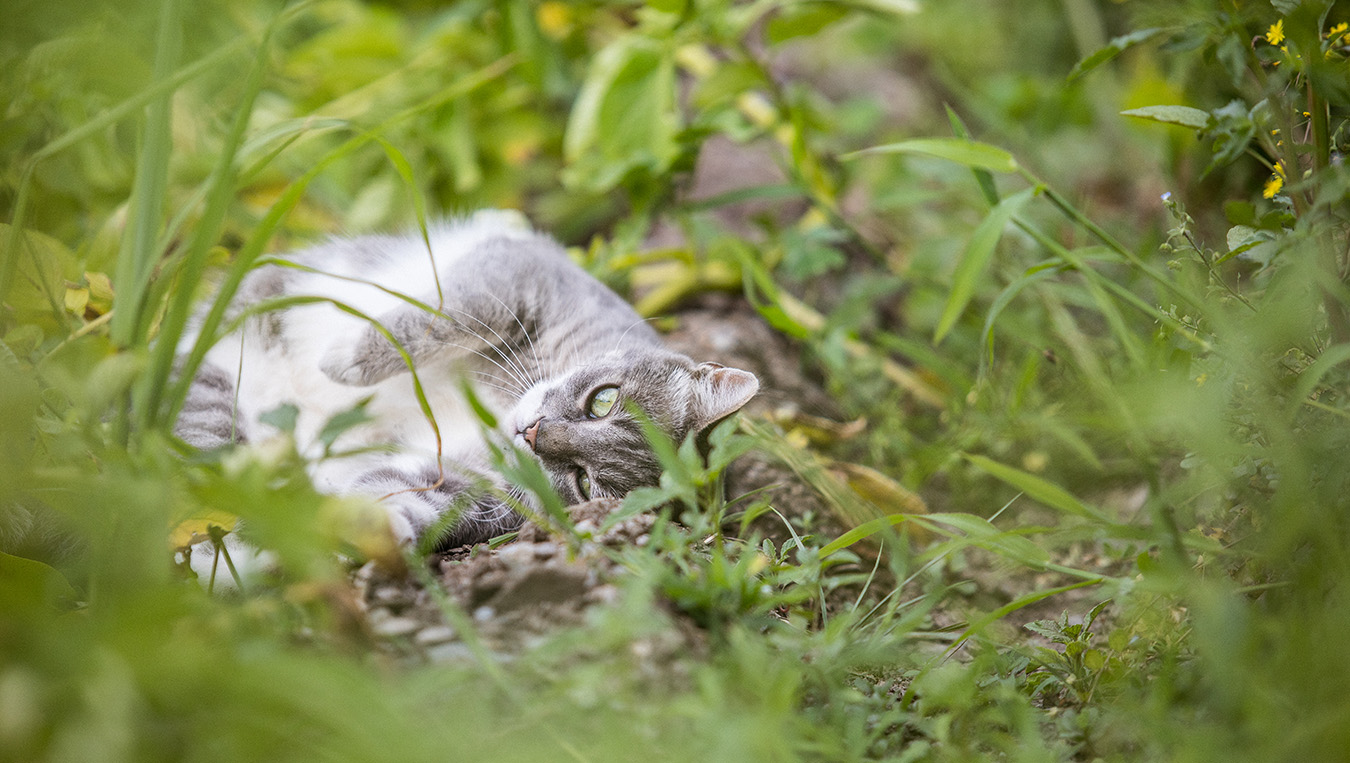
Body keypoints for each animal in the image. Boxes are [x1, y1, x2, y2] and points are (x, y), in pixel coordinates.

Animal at [176, 210, 761, 550]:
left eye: (584, 482)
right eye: (604, 401)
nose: (532, 433)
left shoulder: (455, 480)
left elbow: (399, 495)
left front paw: (376, 528)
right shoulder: (517, 275)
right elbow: (442, 318)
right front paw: (345, 359)